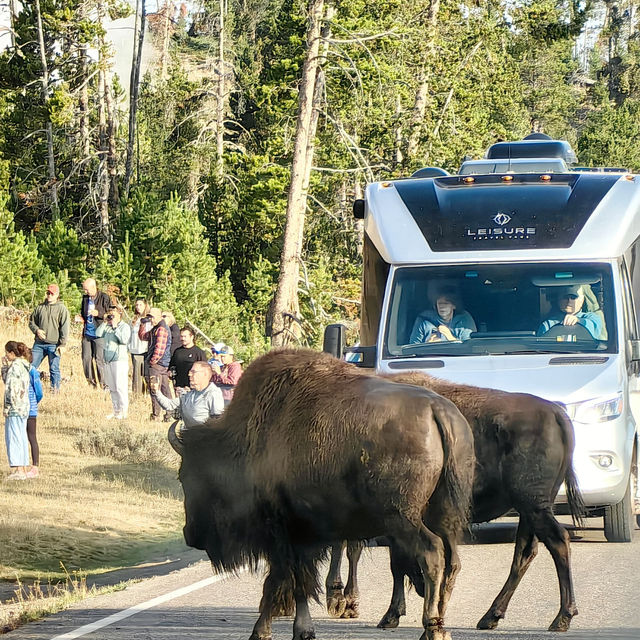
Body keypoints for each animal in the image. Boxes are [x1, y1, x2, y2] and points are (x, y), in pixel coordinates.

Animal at [170, 350, 476, 640]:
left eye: (186, 476)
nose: (190, 534)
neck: (251, 436)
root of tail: (437, 409)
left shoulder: (285, 533)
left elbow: (285, 581)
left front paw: (273, 630)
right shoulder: (304, 536)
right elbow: (296, 581)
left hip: (402, 517)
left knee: (431, 553)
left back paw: (432, 627)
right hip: (444, 514)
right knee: (452, 560)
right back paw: (439, 623)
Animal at [328, 372, 584, 632]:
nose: (423, 590)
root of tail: (555, 411)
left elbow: (389, 562)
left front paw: (385, 614)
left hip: (533, 505)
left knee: (557, 542)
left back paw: (561, 617)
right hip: (530, 509)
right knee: (525, 552)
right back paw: (490, 617)